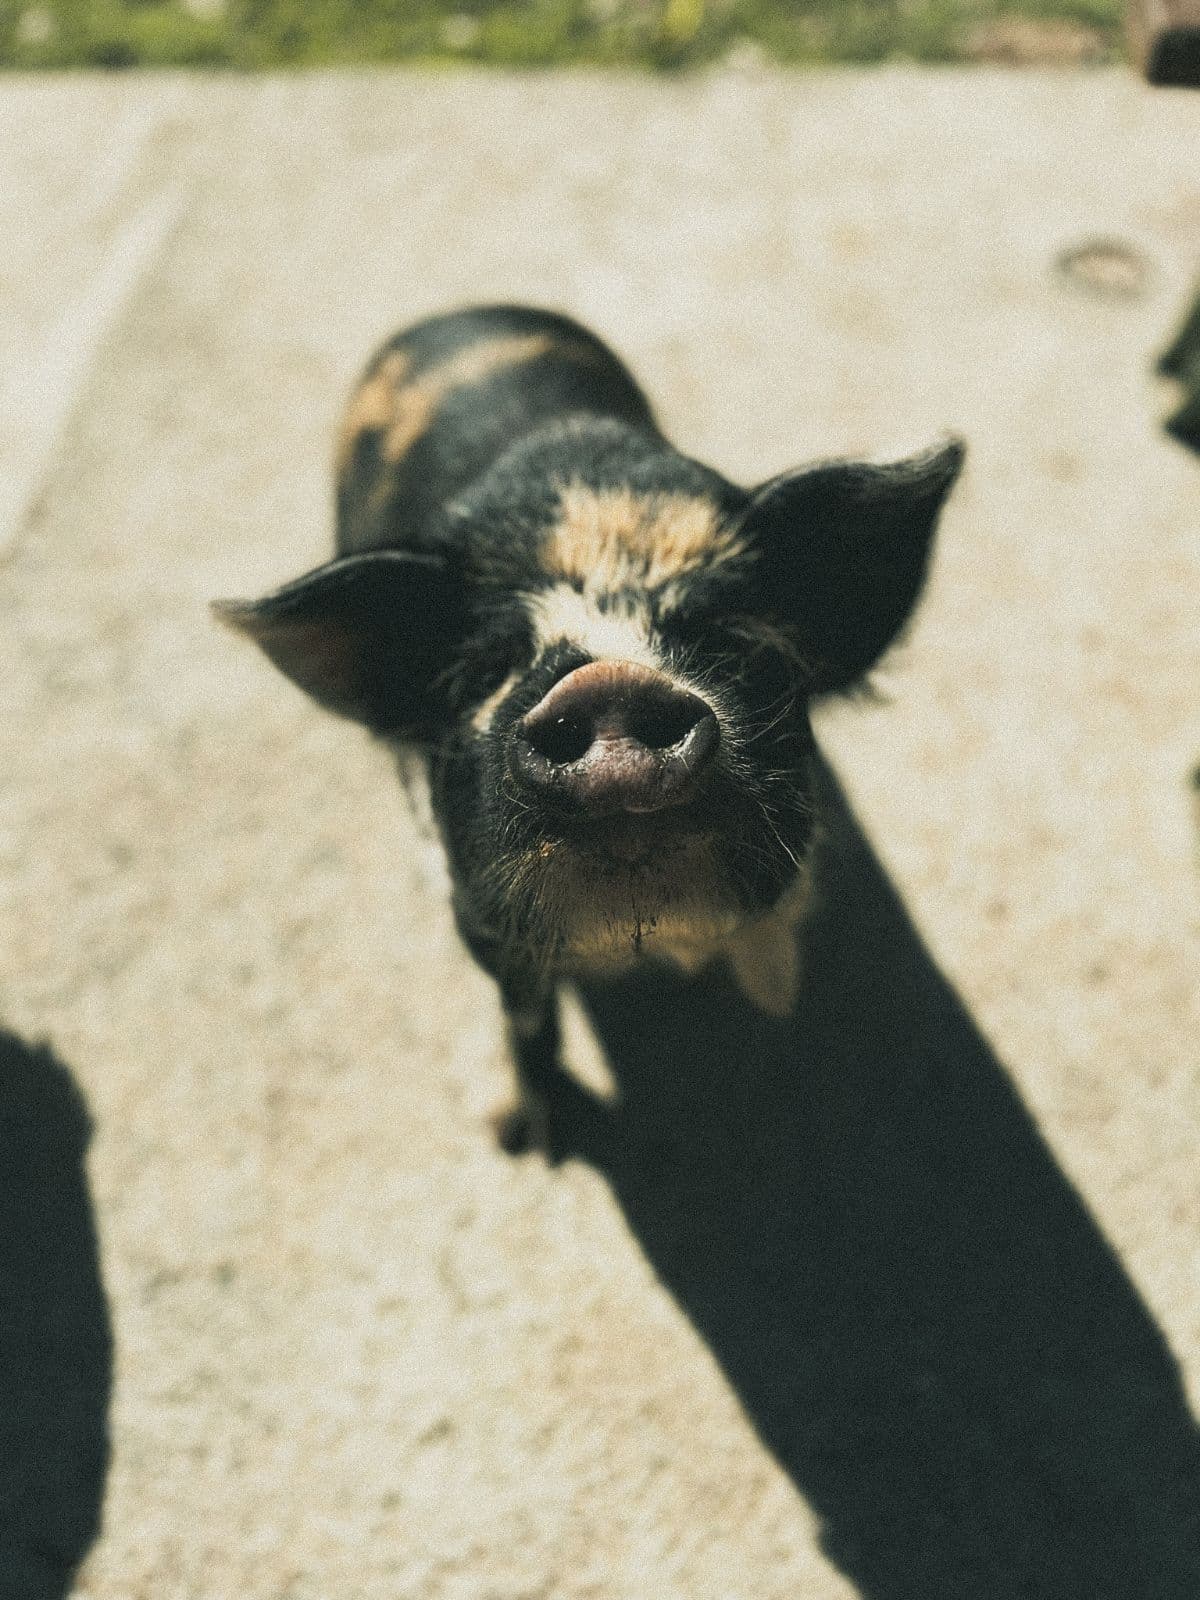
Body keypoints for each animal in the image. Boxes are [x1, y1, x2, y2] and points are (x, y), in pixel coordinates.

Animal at [215, 304, 963, 1154]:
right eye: (489, 668)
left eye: (730, 636)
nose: (608, 681)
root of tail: (461, 311)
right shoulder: (479, 923)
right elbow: (527, 1020)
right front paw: (521, 1141)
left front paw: (775, 992)